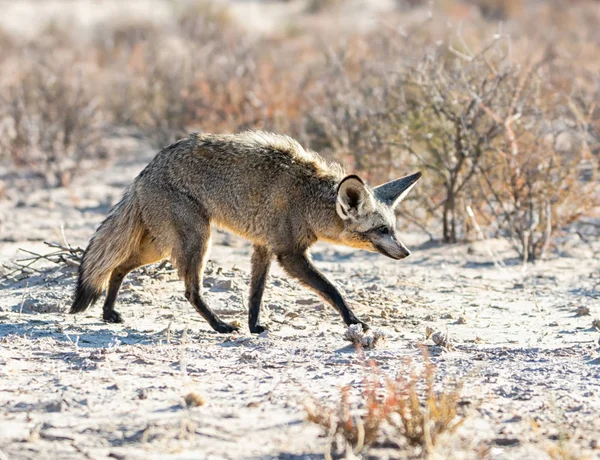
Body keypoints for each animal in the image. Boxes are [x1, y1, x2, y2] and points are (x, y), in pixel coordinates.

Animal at [70, 131, 420, 332]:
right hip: (195, 241)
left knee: (119, 267)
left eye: (394, 229)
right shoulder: (289, 254)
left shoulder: (263, 247)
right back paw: (220, 326)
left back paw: (108, 312)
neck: (307, 199)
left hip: (160, 247)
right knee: (190, 291)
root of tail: (145, 170)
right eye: (381, 230)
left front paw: (254, 326)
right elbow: (332, 289)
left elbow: (255, 294)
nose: (406, 252)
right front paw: (353, 321)